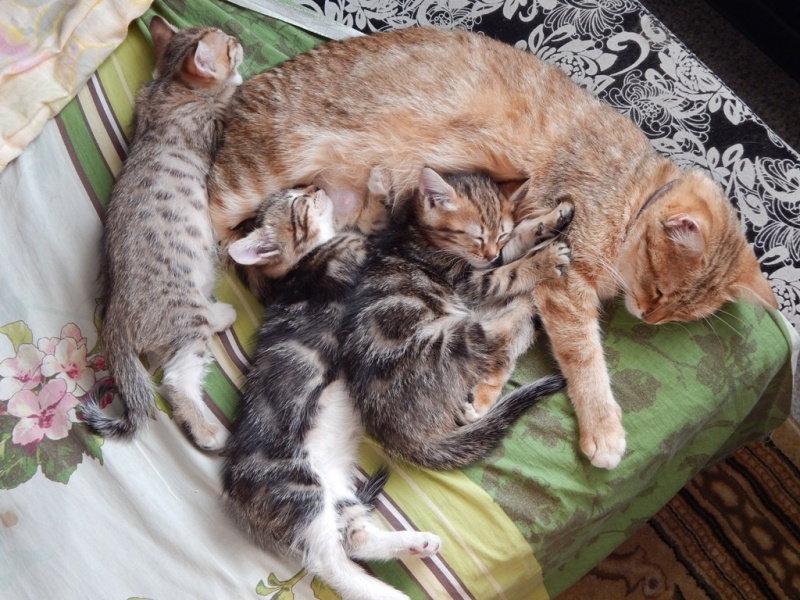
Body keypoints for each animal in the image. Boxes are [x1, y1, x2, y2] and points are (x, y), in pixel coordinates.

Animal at [80, 16, 244, 451]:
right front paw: (239, 83)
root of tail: (114, 316)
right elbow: (229, 105)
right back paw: (207, 429)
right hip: (186, 318)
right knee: (176, 381)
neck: (170, 86)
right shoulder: (211, 129)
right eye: (229, 46)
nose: (239, 39)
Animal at [222, 185, 441, 600]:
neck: (312, 257)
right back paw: (391, 593)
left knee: (355, 537)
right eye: (296, 202)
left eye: (298, 191)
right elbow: (385, 236)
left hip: (337, 494)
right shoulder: (359, 259)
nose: (314, 186)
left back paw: (417, 543)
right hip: (303, 493)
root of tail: (236, 496)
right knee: (329, 561)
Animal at [340, 168, 569, 469]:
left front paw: (554, 218)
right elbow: (509, 273)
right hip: (447, 341)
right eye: (476, 237)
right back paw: (525, 305)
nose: (491, 253)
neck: (419, 233)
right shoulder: (470, 282)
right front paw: (545, 259)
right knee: (495, 333)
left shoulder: (490, 261)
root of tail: (399, 434)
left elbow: (515, 245)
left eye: (501, 235)